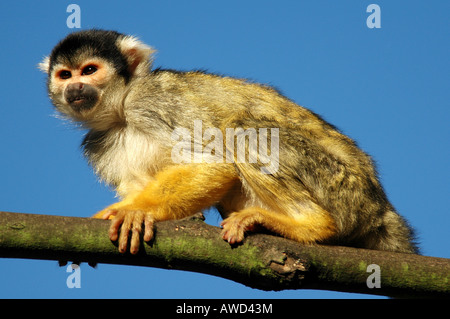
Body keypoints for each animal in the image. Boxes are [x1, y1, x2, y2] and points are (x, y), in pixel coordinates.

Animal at [38, 29, 418, 255]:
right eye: (64, 75)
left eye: (89, 70)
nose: (75, 88)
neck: (121, 112)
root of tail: (380, 208)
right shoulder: (97, 143)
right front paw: (135, 210)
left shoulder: (153, 100)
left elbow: (214, 163)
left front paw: (136, 210)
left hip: (344, 190)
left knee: (243, 128)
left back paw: (310, 225)